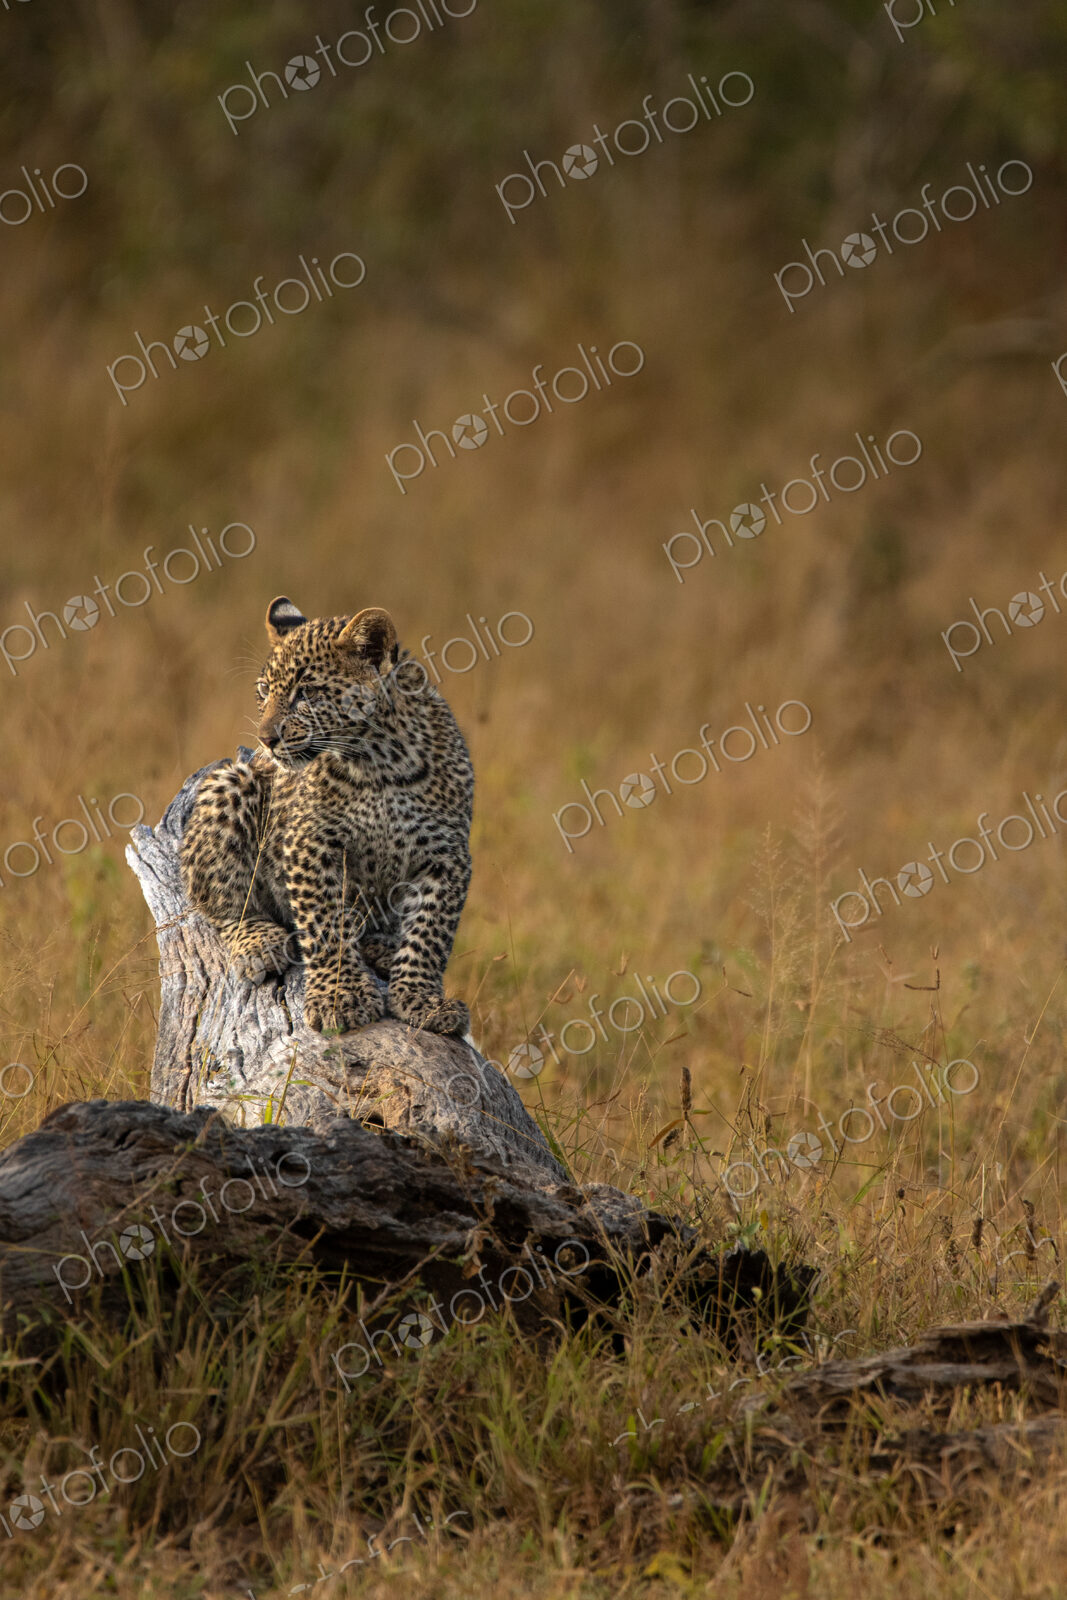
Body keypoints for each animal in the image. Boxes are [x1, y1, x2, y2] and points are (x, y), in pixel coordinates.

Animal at [179, 595, 474, 1036]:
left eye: (307, 693)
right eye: (263, 692)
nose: (265, 739)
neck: (380, 762)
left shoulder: (447, 854)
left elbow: (429, 933)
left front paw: (422, 1001)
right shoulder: (310, 843)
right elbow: (324, 924)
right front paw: (341, 998)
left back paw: (382, 947)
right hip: (232, 785)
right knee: (219, 902)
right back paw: (261, 942)